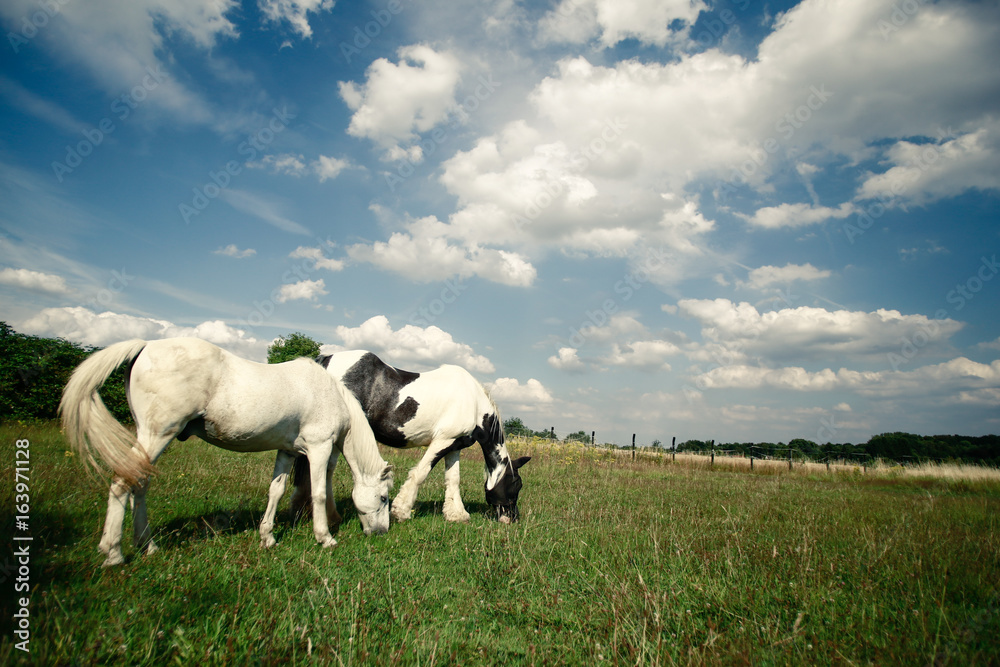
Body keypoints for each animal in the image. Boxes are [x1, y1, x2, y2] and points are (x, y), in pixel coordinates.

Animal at [59, 337, 393, 567]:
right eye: (383, 498)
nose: (381, 533)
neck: (332, 393)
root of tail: (145, 346)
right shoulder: (319, 447)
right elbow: (319, 492)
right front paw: (325, 537)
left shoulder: (286, 451)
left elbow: (276, 490)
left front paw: (267, 537)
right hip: (156, 435)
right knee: (121, 483)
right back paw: (114, 553)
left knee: (139, 483)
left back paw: (147, 546)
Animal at [290, 350, 530, 524]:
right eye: (515, 485)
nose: (512, 518)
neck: (474, 403)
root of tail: (326, 360)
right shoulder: (442, 441)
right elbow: (420, 473)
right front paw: (401, 511)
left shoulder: (455, 445)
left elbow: (453, 479)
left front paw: (456, 514)